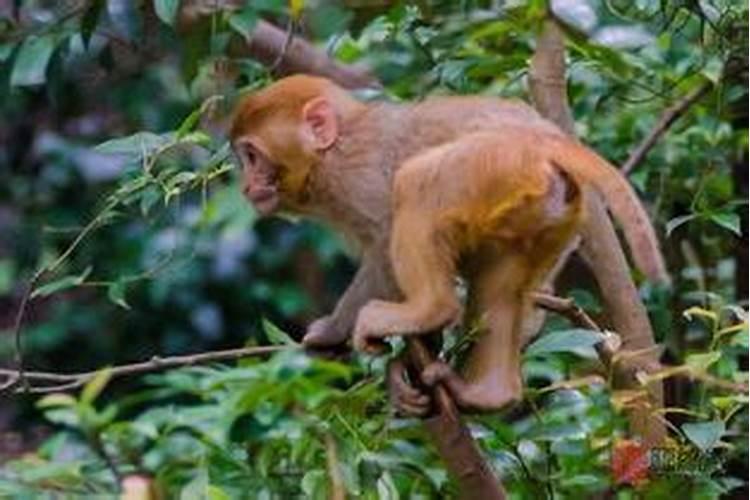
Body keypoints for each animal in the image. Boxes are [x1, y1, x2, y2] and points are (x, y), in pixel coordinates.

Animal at [231, 73, 668, 410]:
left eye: (252, 156)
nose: (246, 186)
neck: (333, 151)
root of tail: (544, 138)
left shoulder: (357, 175)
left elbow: (385, 241)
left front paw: (336, 330)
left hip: (489, 164)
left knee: (416, 181)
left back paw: (430, 308)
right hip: (544, 211)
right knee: (500, 274)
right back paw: (490, 393)